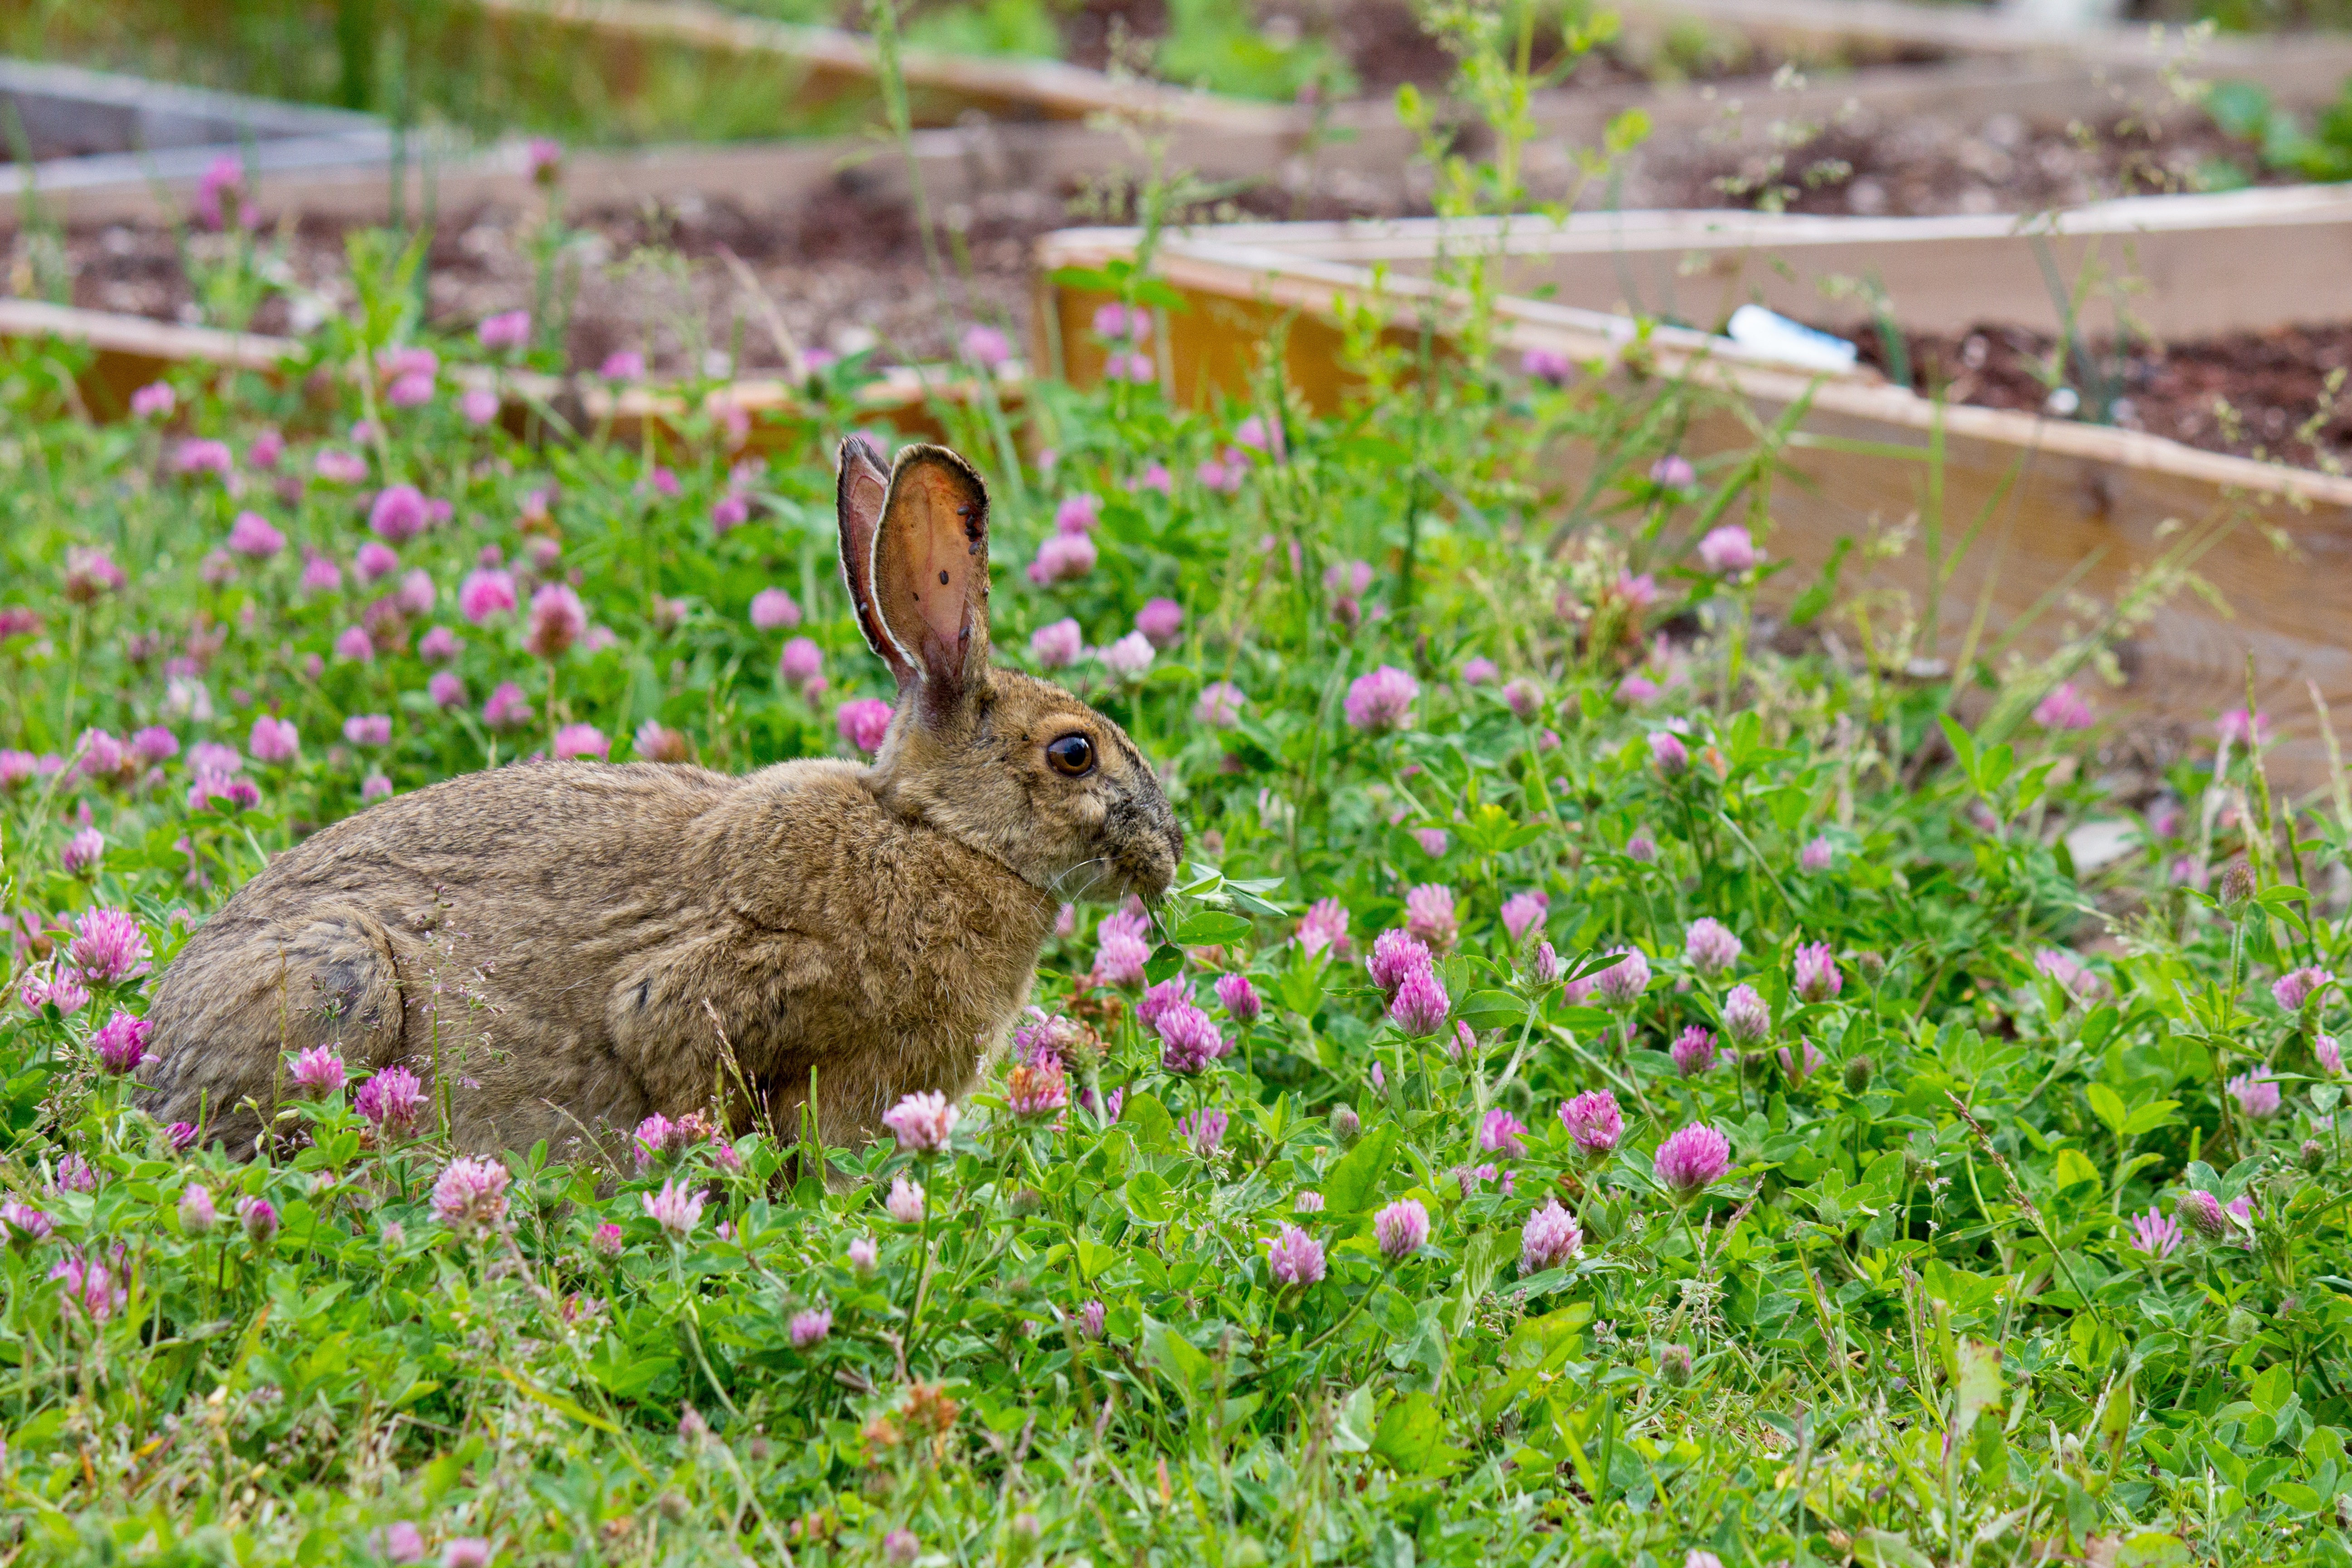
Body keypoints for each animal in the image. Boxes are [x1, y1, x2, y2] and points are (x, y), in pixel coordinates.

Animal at [137, 435, 1185, 1161]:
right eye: (1074, 754)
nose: (1169, 849)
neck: (938, 836)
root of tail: (152, 1054)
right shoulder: (715, 995)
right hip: (340, 979)